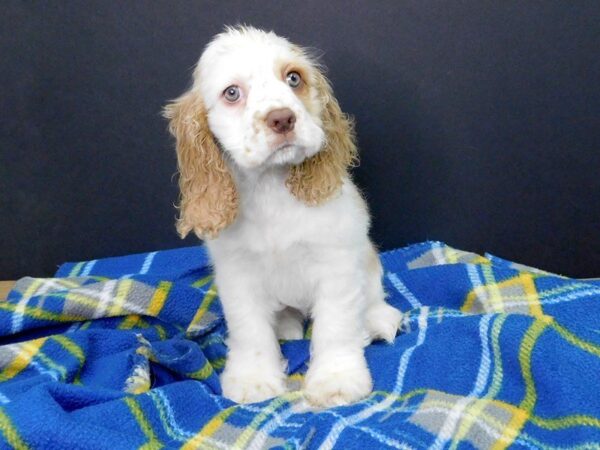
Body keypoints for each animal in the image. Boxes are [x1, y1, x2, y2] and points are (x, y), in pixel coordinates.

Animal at [163, 27, 404, 408]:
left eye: (294, 78)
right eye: (232, 93)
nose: (282, 118)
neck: (270, 187)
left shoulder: (337, 265)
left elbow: (335, 327)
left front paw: (336, 379)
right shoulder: (238, 275)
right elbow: (249, 330)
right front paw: (254, 378)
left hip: (368, 264)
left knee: (374, 297)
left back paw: (378, 321)